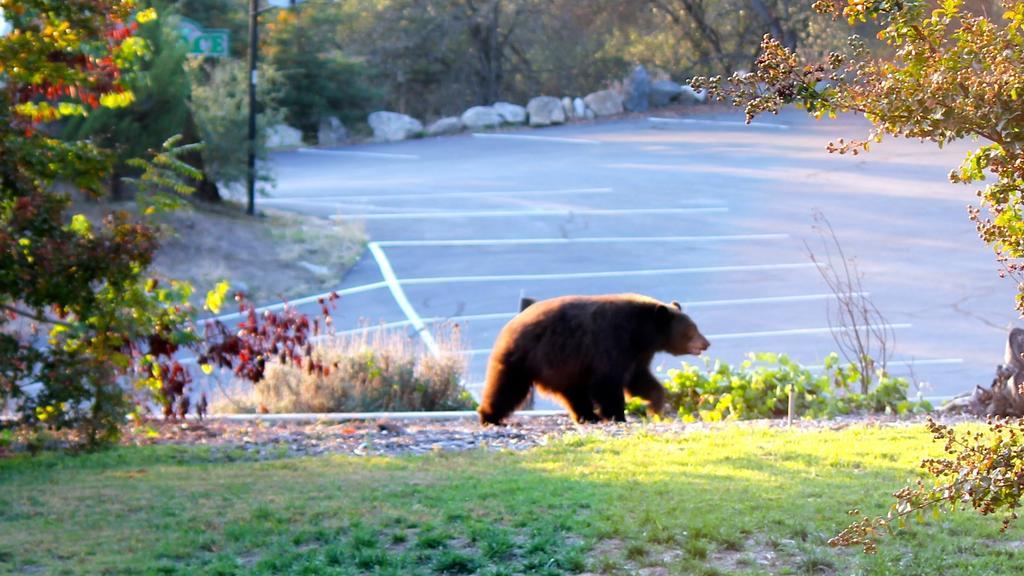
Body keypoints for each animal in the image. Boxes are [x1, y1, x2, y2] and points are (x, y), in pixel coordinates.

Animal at [479, 291, 712, 422]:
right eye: (691, 330)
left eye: (695, 326)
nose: (706, 343)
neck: (641, 332)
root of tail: (509, 326)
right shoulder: (611, 342)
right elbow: (608, 381)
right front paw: (618, 415)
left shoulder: (638, 353)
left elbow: (639, 378)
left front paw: (656, 405)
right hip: (527, 358)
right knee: (507, 387)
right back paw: (490, 416)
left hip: (564, 367)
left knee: (574, 393)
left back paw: (587, 416)